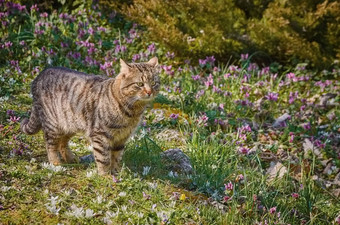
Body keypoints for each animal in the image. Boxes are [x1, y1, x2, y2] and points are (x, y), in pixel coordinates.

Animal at [20, 57, 161, 175]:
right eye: (140, 84)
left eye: (154, 83)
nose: (149, 92)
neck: (132, 111)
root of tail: (41, 73)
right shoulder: (100, 135)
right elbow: (103, 158)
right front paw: (105, 176)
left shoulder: (122, 138)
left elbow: (116, 157)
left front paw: (115, 173)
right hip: (53, 124)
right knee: (51, 145)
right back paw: (56, 163)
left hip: (70, 124)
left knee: (62, 142)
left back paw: (71, 158)